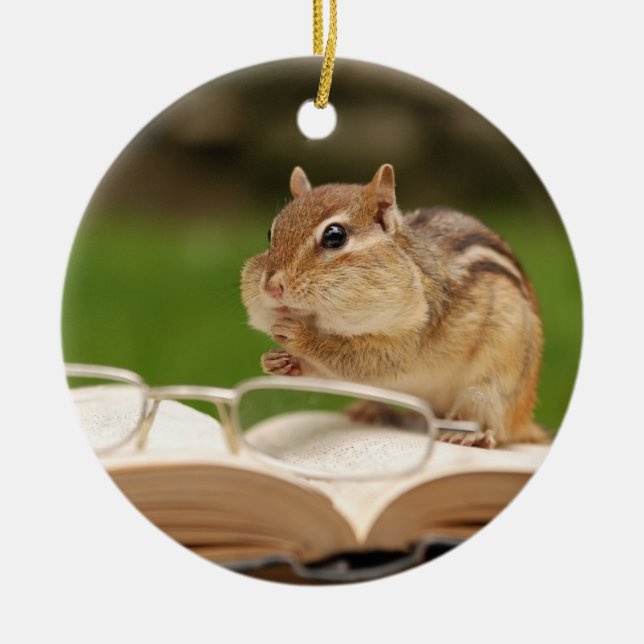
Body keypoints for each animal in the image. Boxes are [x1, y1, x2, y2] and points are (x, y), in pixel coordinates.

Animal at [240, 164, 549, 448]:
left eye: (334, 236)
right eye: (270, 233)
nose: (272, 287)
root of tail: (523, 419)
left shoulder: (412, 337)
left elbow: (357, 359)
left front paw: (299, 337)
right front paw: (278, 362)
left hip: (493, 384)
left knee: (495, 425)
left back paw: (470, 434)